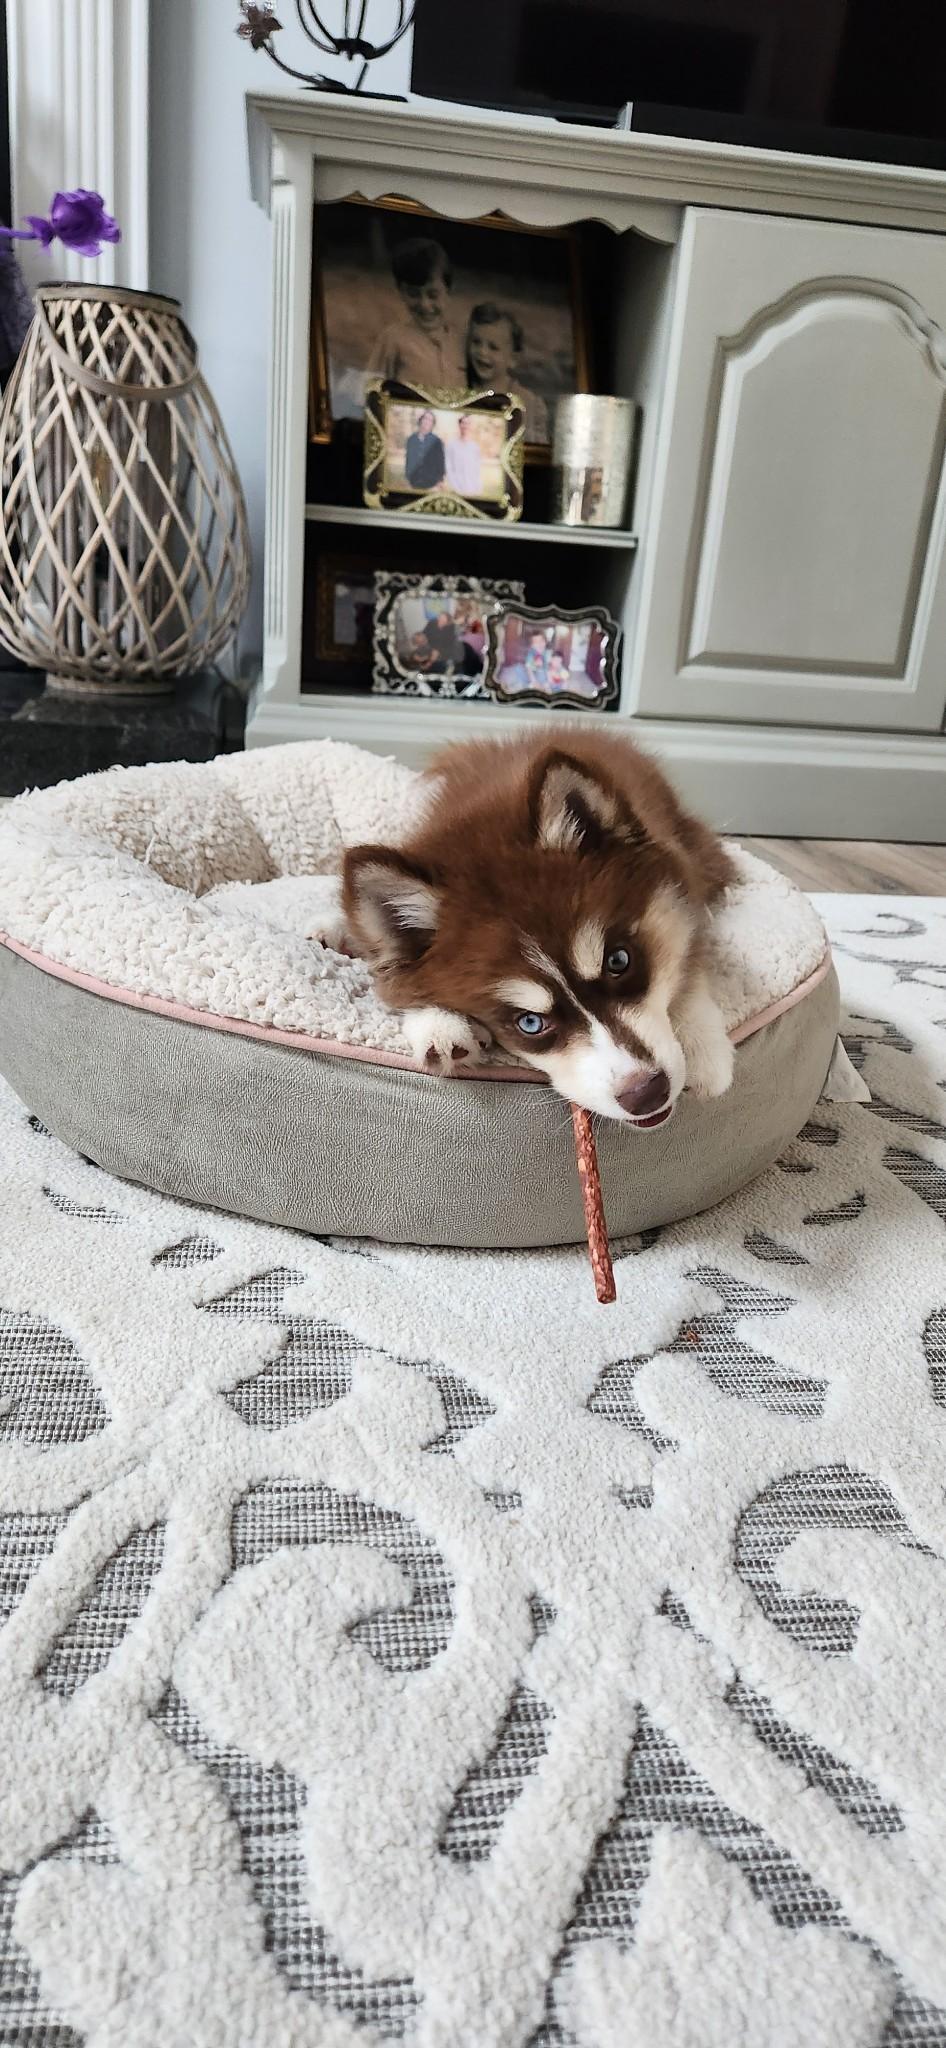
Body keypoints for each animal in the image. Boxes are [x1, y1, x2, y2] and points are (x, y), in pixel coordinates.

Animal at [324, 731, 737, 1126]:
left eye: (619, 961)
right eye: (530, 1022)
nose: (646, 1094)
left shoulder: (685, 877)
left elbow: (691, 960)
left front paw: (702, 1046)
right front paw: (438, 1023)